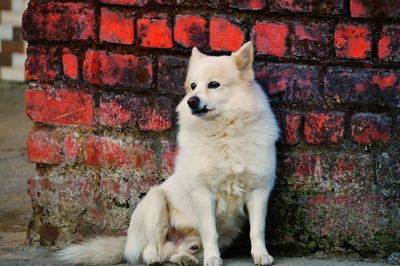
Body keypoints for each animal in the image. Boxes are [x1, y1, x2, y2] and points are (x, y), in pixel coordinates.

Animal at [57, 41, 280, 266]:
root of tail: (127, 243)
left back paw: (185, 258)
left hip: (218, 236)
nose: (191, 101)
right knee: (152, 247)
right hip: (156, 202)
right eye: (193, 86)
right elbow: (210, 232)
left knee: (171, 253)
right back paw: (155, 258)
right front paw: (212, 258)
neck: (224, 136)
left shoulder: (259, 191)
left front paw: (260, 255)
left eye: (214, 84)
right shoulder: (203, 193)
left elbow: (256, 231)